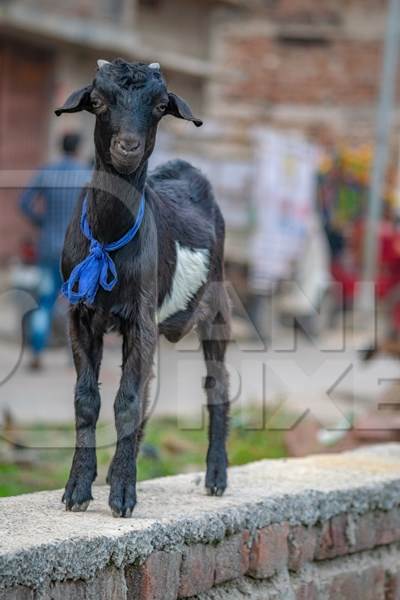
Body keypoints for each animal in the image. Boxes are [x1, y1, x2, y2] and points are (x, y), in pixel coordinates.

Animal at [56, 58, 231, 516]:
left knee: (217, 384)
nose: (128, 147)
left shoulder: (141, 317)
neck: (108, 239)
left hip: (217, 307)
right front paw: (78, 489)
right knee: (149, 386)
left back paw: (216, 476)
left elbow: (128, 401)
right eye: (98, 101)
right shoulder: (81, 316)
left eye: (158, 106)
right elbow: (88, 398)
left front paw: (122, 494)